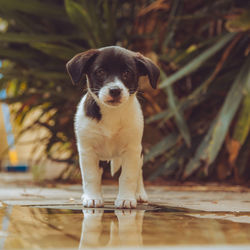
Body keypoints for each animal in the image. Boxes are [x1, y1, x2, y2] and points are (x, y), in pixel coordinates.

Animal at [66, 46, 160, 208]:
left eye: (127, 73)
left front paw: (126, 199)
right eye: (100, 71)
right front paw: (92, 197)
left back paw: (139, 193)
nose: (115, 90)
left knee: (139, 172)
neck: (112, 113)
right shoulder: (87, 150)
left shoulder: (132, 150)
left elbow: (129, 176)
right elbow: (91, 176)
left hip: (139, 152)